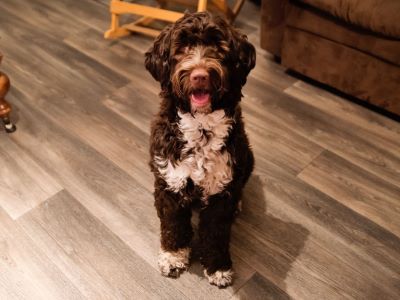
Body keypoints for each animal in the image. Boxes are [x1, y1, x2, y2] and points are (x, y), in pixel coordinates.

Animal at [145, 11, 255, 288]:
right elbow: (173, 225)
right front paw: (174, 257)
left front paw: (218, 267)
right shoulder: (170, 182)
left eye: (219, 47)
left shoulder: (221, 190)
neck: (201, 129)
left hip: (248, 158)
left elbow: (216, 233)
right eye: (182, 48)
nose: (200, 75)